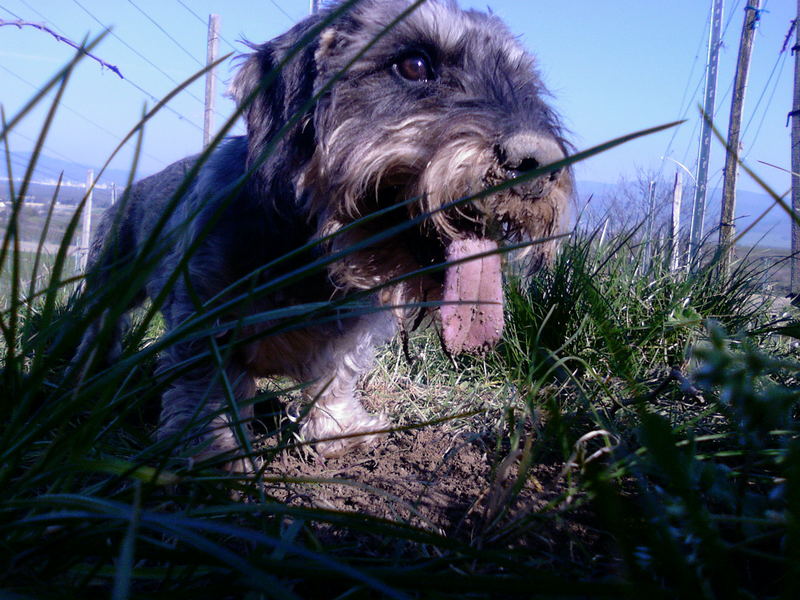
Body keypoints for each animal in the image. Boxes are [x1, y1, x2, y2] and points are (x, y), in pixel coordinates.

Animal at [78, 0, 572, 466]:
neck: (312, 248)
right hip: (111, 276)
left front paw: (338, 431)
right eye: (414, 64)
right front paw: (209, 448)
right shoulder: (204, 316)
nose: (538, 165)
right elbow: (207, 387)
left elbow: (337, 375)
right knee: (100, 322)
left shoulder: (350, 331)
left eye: (525, 84)